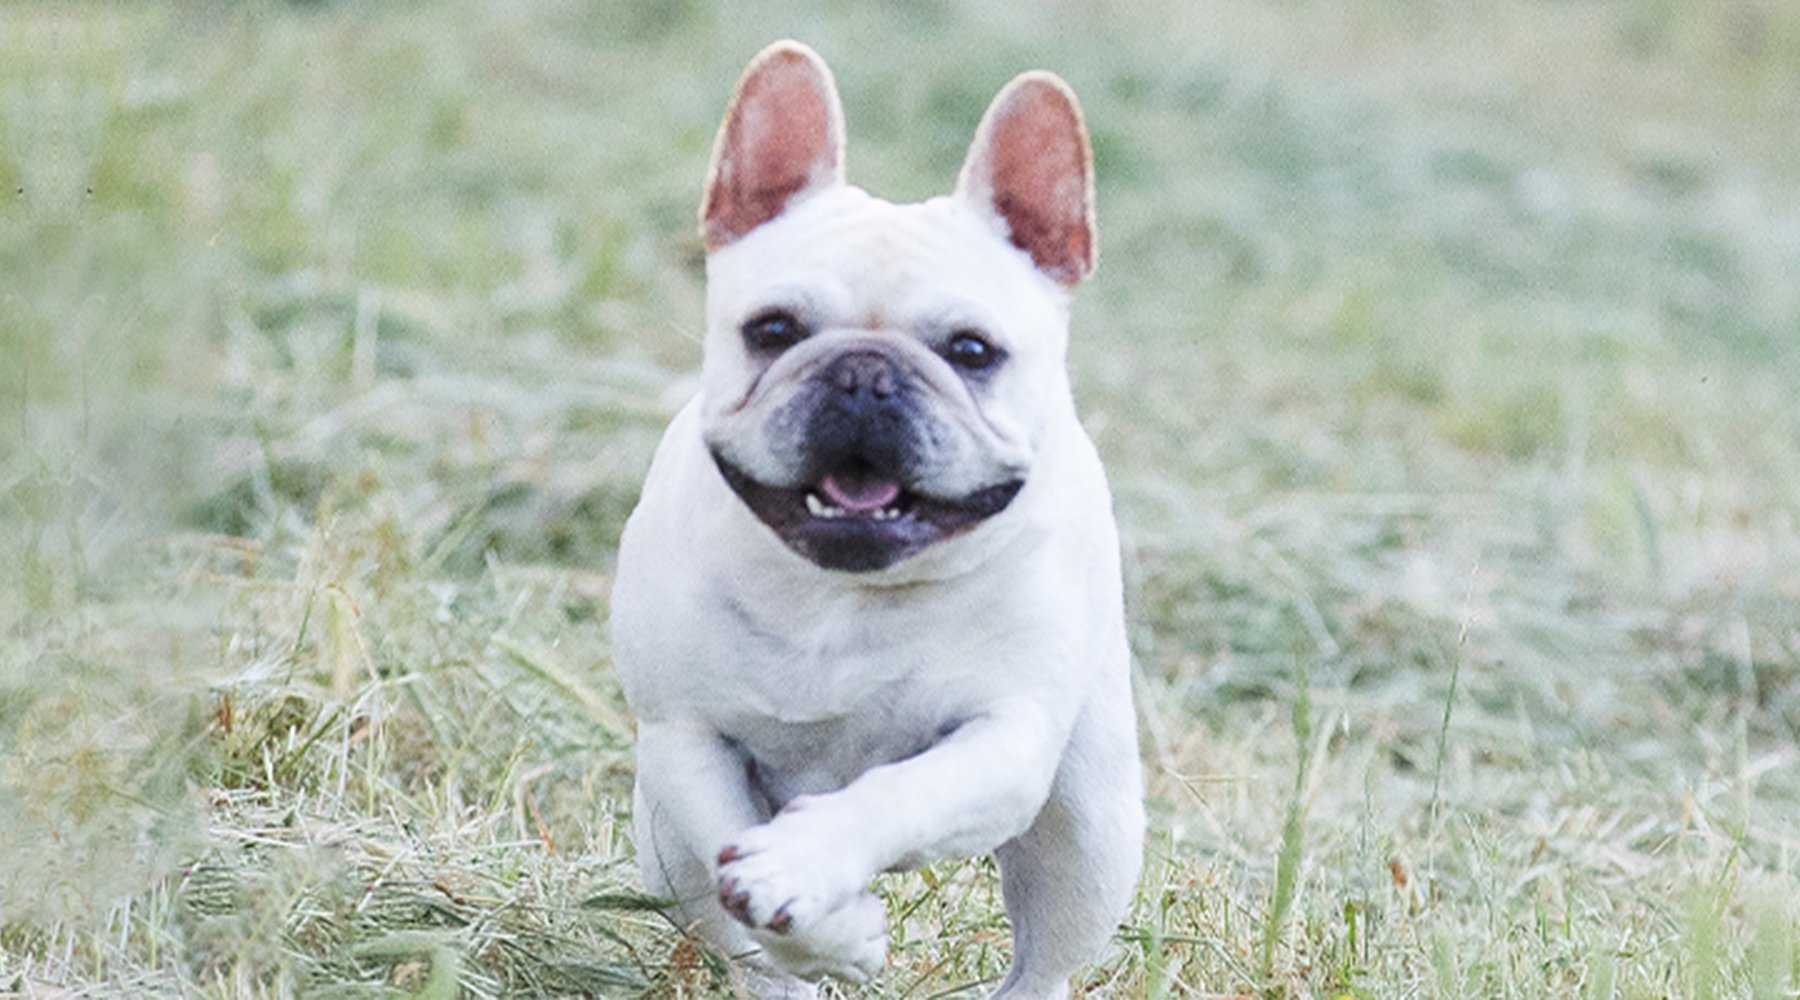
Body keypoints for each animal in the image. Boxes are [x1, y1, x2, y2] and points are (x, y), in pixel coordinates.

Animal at [612, 40, 1144, 1000]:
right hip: (660, 849)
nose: (862, 373)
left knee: (1046, 956)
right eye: (772, 330)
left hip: (1090, 824)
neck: (845, 594)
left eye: (972, 351)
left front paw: (810, 864)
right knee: (741, 945)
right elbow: (735, 854)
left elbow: (903, 792)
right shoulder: (684, 736)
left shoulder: (1004, 741)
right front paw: (833, 924)